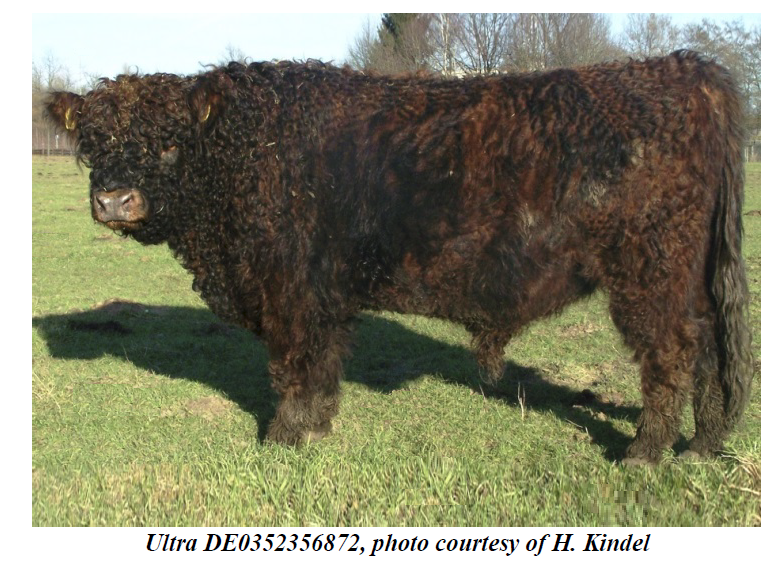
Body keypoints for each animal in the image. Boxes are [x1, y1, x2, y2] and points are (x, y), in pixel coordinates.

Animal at [47, 50, 752, 465]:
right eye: (92, 140)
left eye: (169, 143)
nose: (114, 200)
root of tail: (685, 68)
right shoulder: (324, 296)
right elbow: (322, 364)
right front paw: (317, 428)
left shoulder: (290, 291)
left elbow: (294, 367)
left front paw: (282, 438)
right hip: (688, 277)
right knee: (709, 349)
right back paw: (703, 445)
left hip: (649, 270)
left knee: (670, 355)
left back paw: (646, 453)